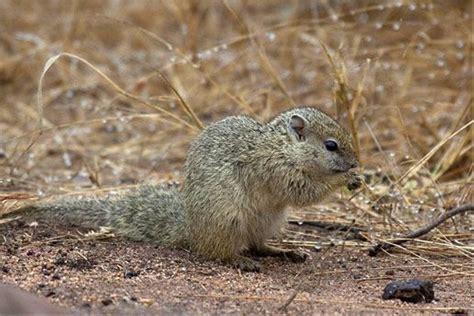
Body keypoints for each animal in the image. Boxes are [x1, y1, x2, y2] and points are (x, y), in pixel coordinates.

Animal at [13, 106, 362, 272]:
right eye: (331, 145)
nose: (357, 162)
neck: (282, 146)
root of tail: (192, 229)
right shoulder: (274, 169)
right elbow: (304, 191)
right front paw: (343, 180)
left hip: (266, 221)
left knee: (257, 244)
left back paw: (283, 251)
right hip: (228, 219)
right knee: (217, 252)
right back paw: (240, 261)